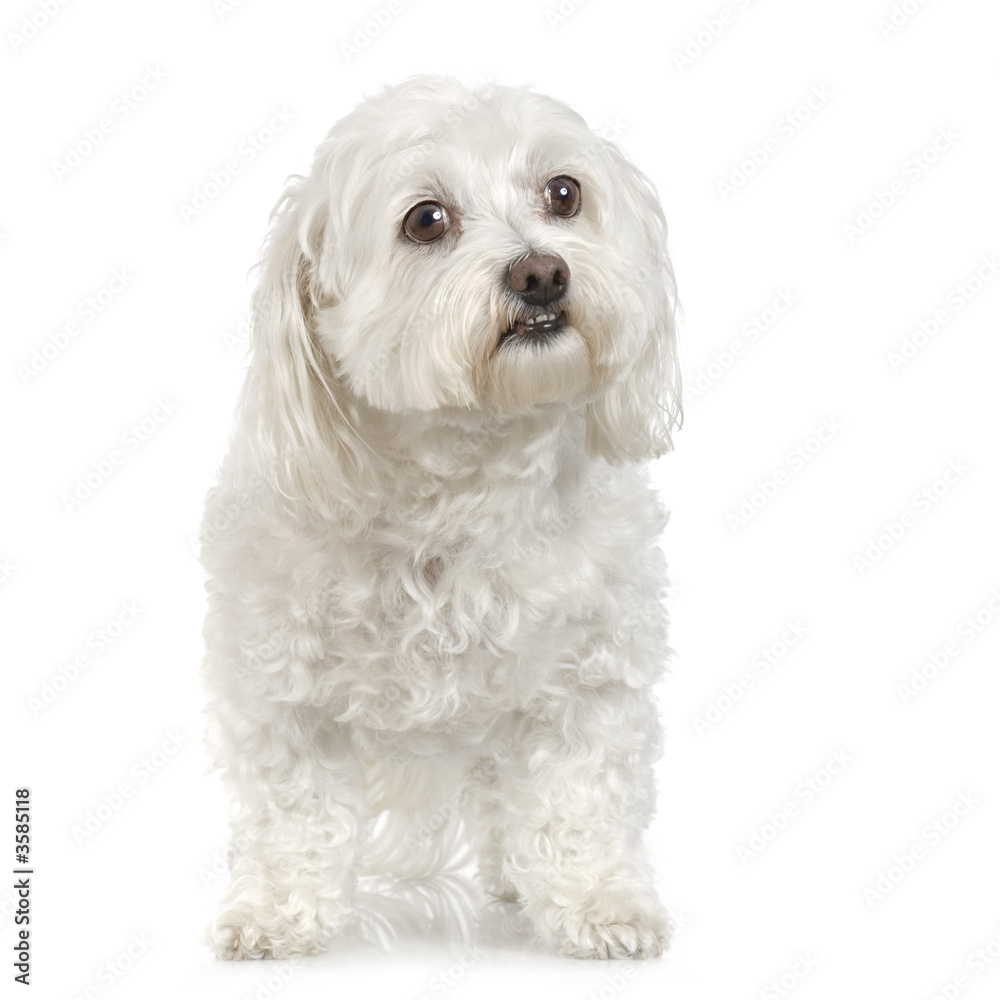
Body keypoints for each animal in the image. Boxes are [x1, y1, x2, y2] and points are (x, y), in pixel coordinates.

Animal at [202, 76, 684, 960]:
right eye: (426, 220)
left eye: (564, 193)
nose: (541, 273)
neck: (460, 487)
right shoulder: (280, 687)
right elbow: (294, 810)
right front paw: (277, 912)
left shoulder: (590, 679)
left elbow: (579, 800)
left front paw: (599, 902)